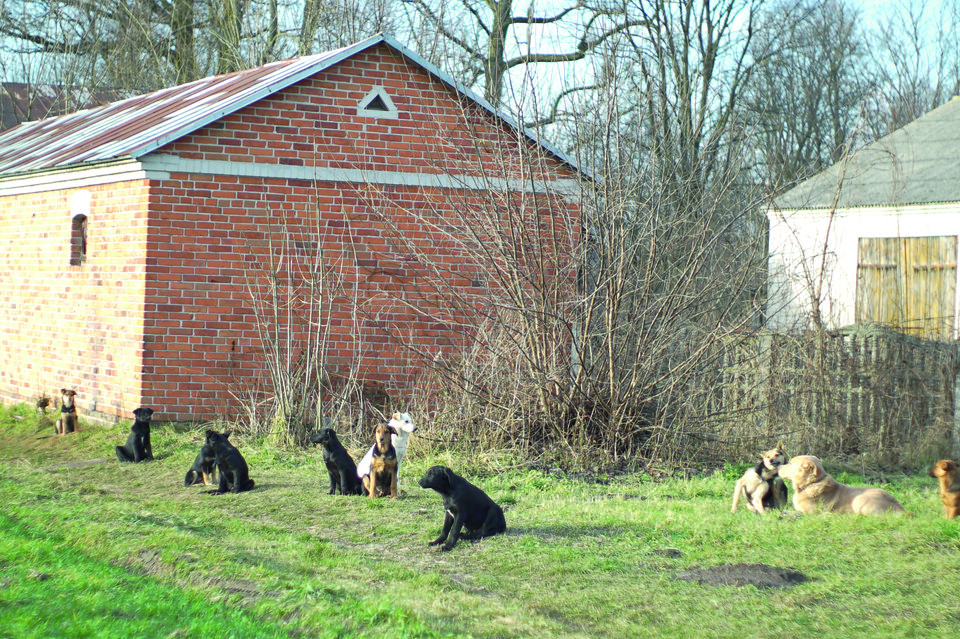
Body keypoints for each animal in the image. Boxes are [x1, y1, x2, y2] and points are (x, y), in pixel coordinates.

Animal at [776, 456, 904, 516]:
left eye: (790, 463)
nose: (778, 466)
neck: (810, 484)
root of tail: (899, 506)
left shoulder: (811, 513)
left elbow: (798, 512)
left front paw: (786, 512)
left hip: (859, 501)